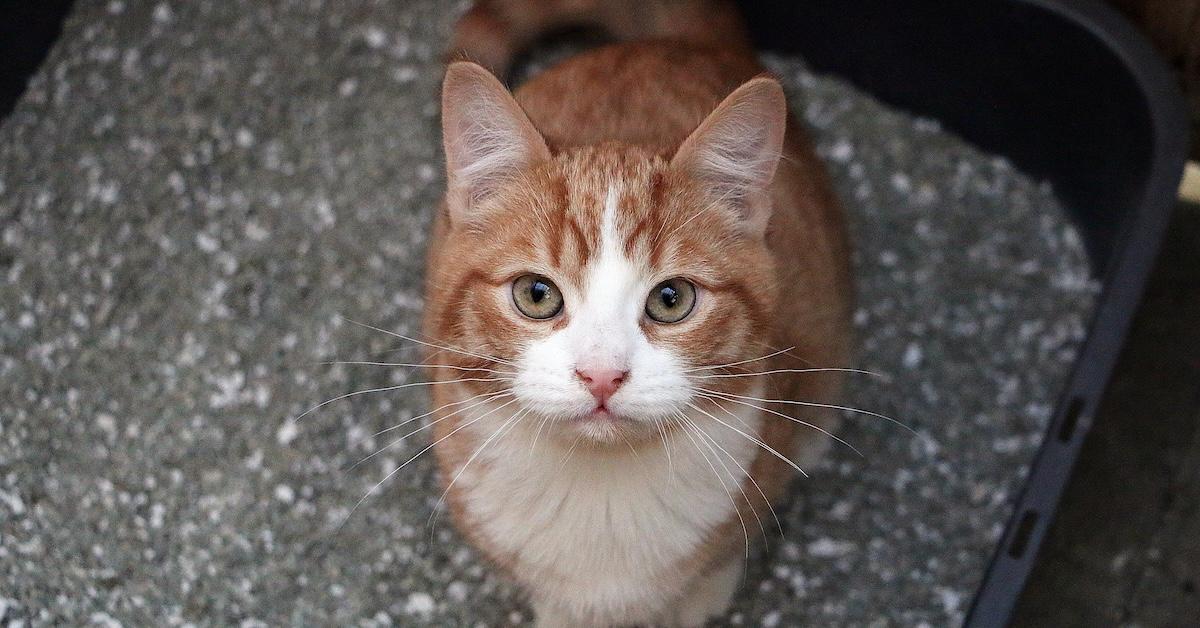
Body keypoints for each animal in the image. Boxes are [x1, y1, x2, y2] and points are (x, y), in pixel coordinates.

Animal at [422, 1, 854, 624]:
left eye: (671, 300)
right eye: (536, 294)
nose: (602, 375)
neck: (600, 494)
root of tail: (684, 45)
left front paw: (700, 596)